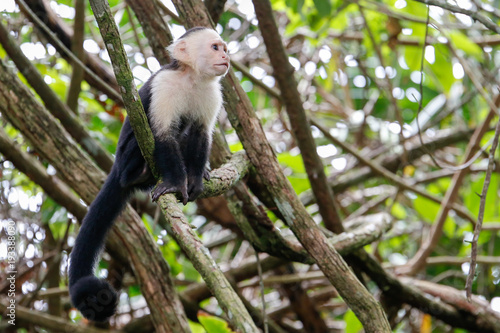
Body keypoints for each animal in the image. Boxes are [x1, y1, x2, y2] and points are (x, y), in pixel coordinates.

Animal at [68, 27, 229, 320]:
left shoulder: (212, 92)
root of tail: (116, 168)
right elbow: (162, 135)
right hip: (126, 161)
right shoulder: (165, 85)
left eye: (224, 48)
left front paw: (195, 180)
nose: (225, 56)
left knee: (189, 129)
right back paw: (143, 172)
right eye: (215, 47)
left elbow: (201, 135)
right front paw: (175, 183)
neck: (192, 78)